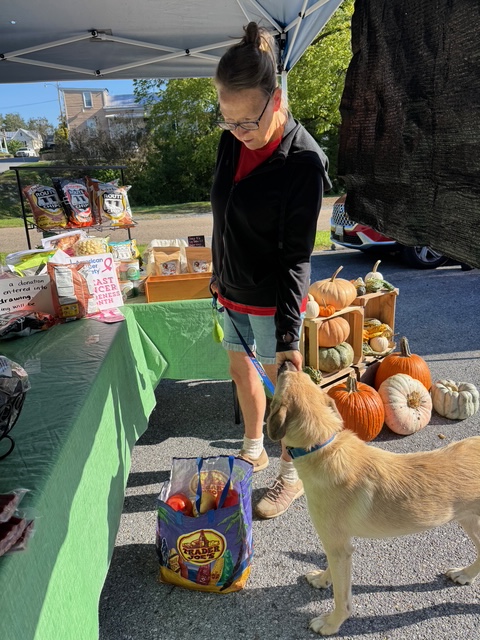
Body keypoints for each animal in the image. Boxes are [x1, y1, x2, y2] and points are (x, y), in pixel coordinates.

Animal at [266, 362, 480, 636]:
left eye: (285, 378)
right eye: (304, 376)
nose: (286, 363)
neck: (323, 445)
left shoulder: (338, 547)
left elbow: (342, 598)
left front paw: (332, 623)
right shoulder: (338, 545)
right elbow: (331, 571)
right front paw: (323, 580)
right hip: (468, 520)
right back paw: (465, 574)